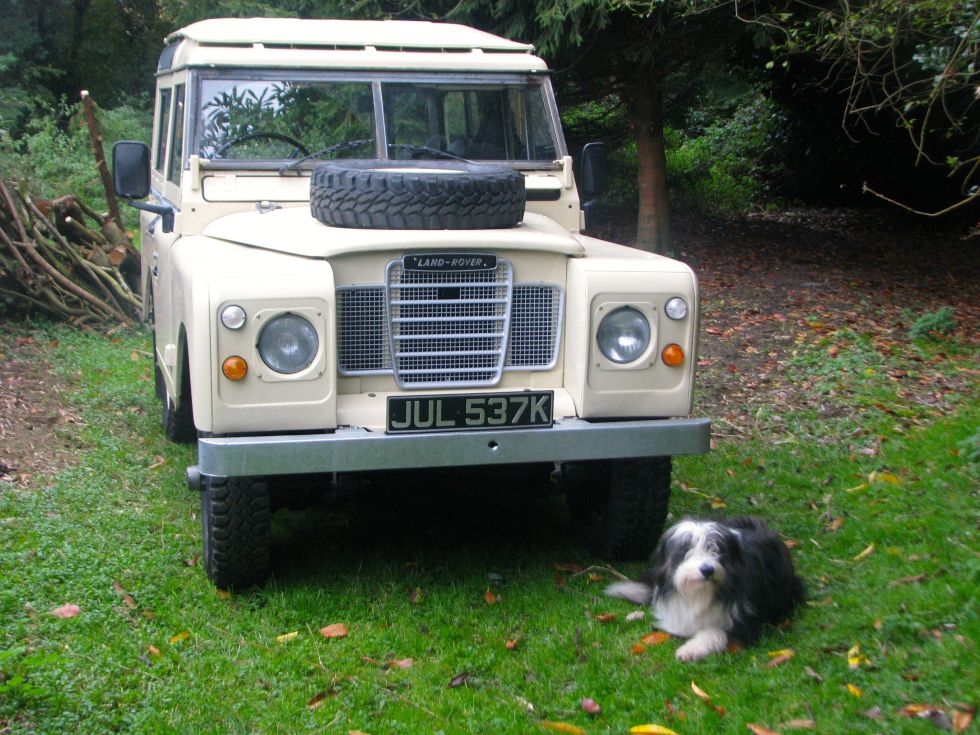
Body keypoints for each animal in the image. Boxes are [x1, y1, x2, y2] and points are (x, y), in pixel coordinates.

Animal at [608, 516, 808, 660]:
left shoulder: (744, 620)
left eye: (716, 549)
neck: (700, 592)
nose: (707, 569)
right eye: (686, 549)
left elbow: (715, 632)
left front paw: (690, 650)